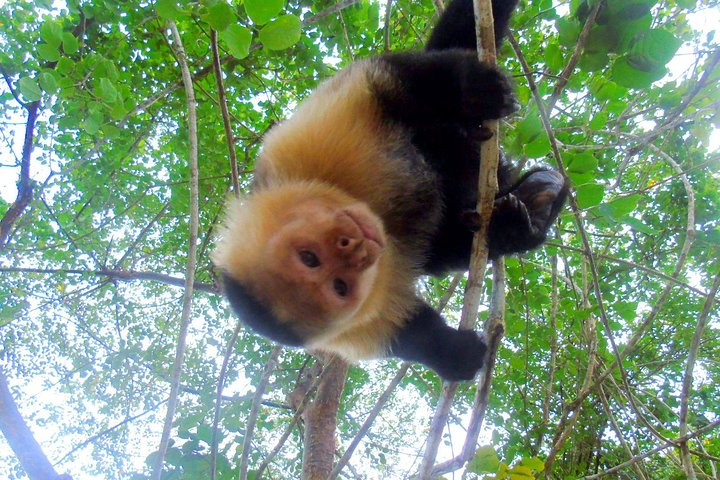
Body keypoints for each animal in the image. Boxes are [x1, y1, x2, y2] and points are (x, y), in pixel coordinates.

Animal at [212, 0, 568, 382]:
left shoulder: (306, 143)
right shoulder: (356, 326)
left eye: (309, 257)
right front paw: (452, 353)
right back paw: (519, 220)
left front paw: (469, 90)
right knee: (441, 243)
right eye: (338, 285)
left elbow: (396, 81)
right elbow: (411, 329)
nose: (354, 248)